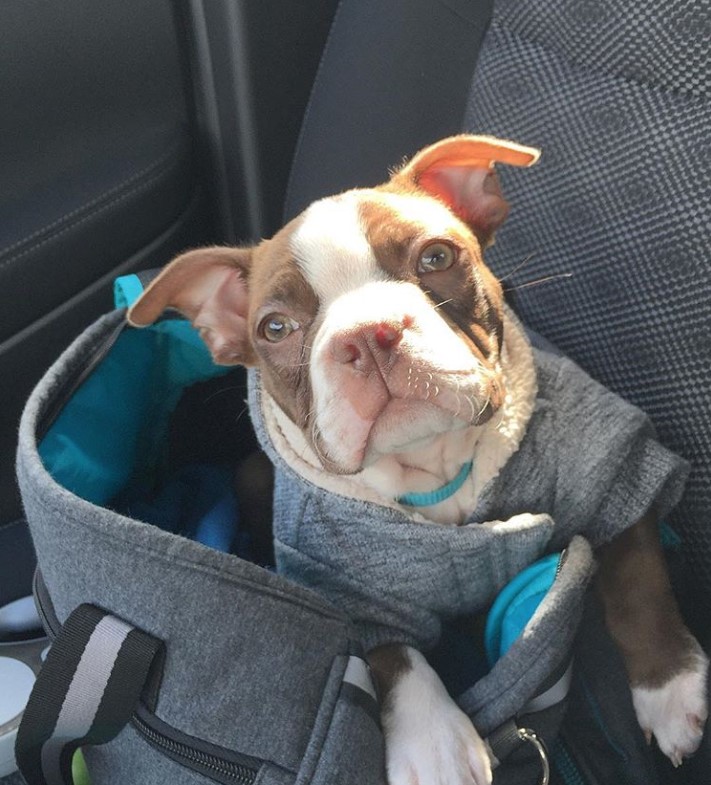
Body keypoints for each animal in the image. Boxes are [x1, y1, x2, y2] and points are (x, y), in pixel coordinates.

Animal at [129, 135, 711, 784]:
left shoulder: (610, 458)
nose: (367, 333)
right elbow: (391, 652)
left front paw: (669, 687)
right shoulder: (346, 582)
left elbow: (636, 569)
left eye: (436, 257)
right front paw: (436, 742)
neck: (435, 467)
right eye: (275, 328)